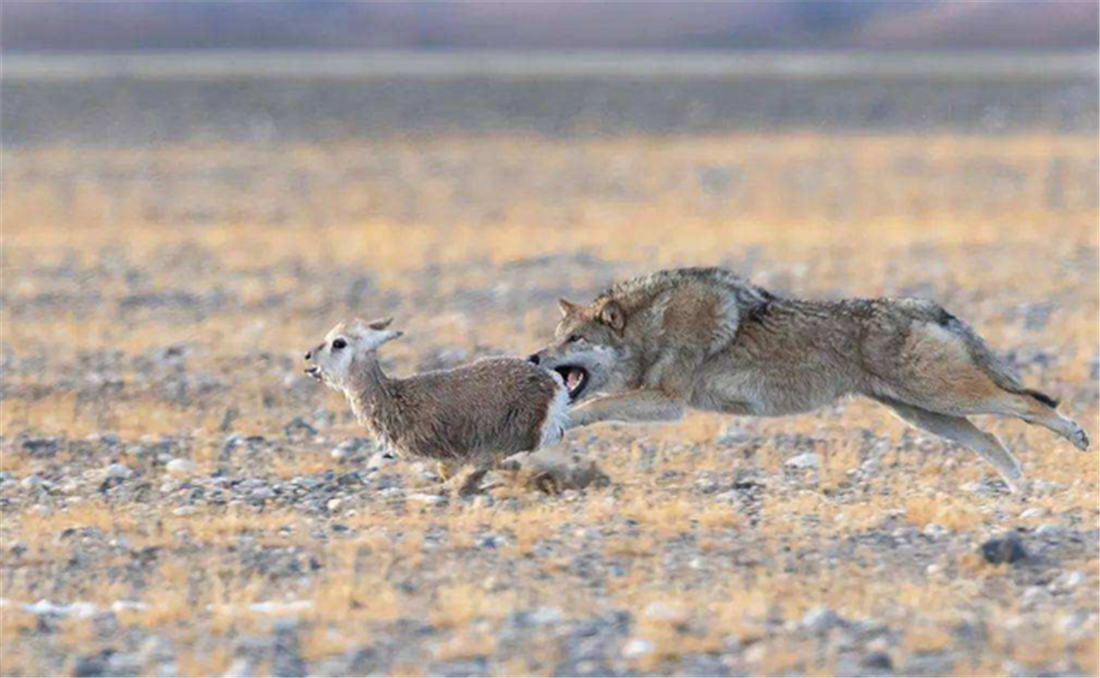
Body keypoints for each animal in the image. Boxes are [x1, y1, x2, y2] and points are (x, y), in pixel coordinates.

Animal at [528, 266, 1086, 493]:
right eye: (556, 337)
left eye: (574, 339)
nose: (534, 357)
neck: (654, 321)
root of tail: (927, 305)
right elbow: (596, 406)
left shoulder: (667, 402)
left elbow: (595, 407)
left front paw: (561, 426)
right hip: (928, 415)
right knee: (992, 438)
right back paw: (1020, 491)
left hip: (940, 397)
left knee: (1029, 406)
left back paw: (1076, 436)